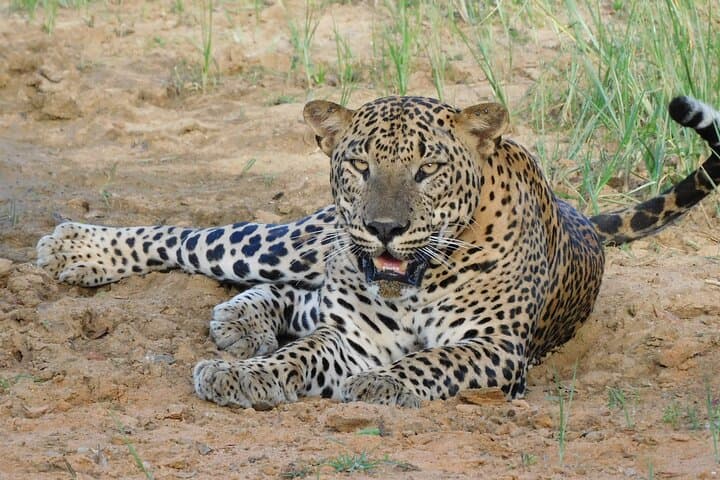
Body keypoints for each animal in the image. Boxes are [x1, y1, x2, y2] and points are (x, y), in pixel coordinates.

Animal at [36, 95, 720, 409]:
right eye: (361, 166)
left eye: (427, 170)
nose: (384, 227)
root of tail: (579, 211)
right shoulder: (353, 337)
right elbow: (298, 356)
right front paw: (244, 374)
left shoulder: (497, 350)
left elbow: (430, 361)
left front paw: (377, 386)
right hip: (298, 241)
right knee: (197, 242)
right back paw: (77, 247)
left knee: (296, 297)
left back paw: (239, 319)